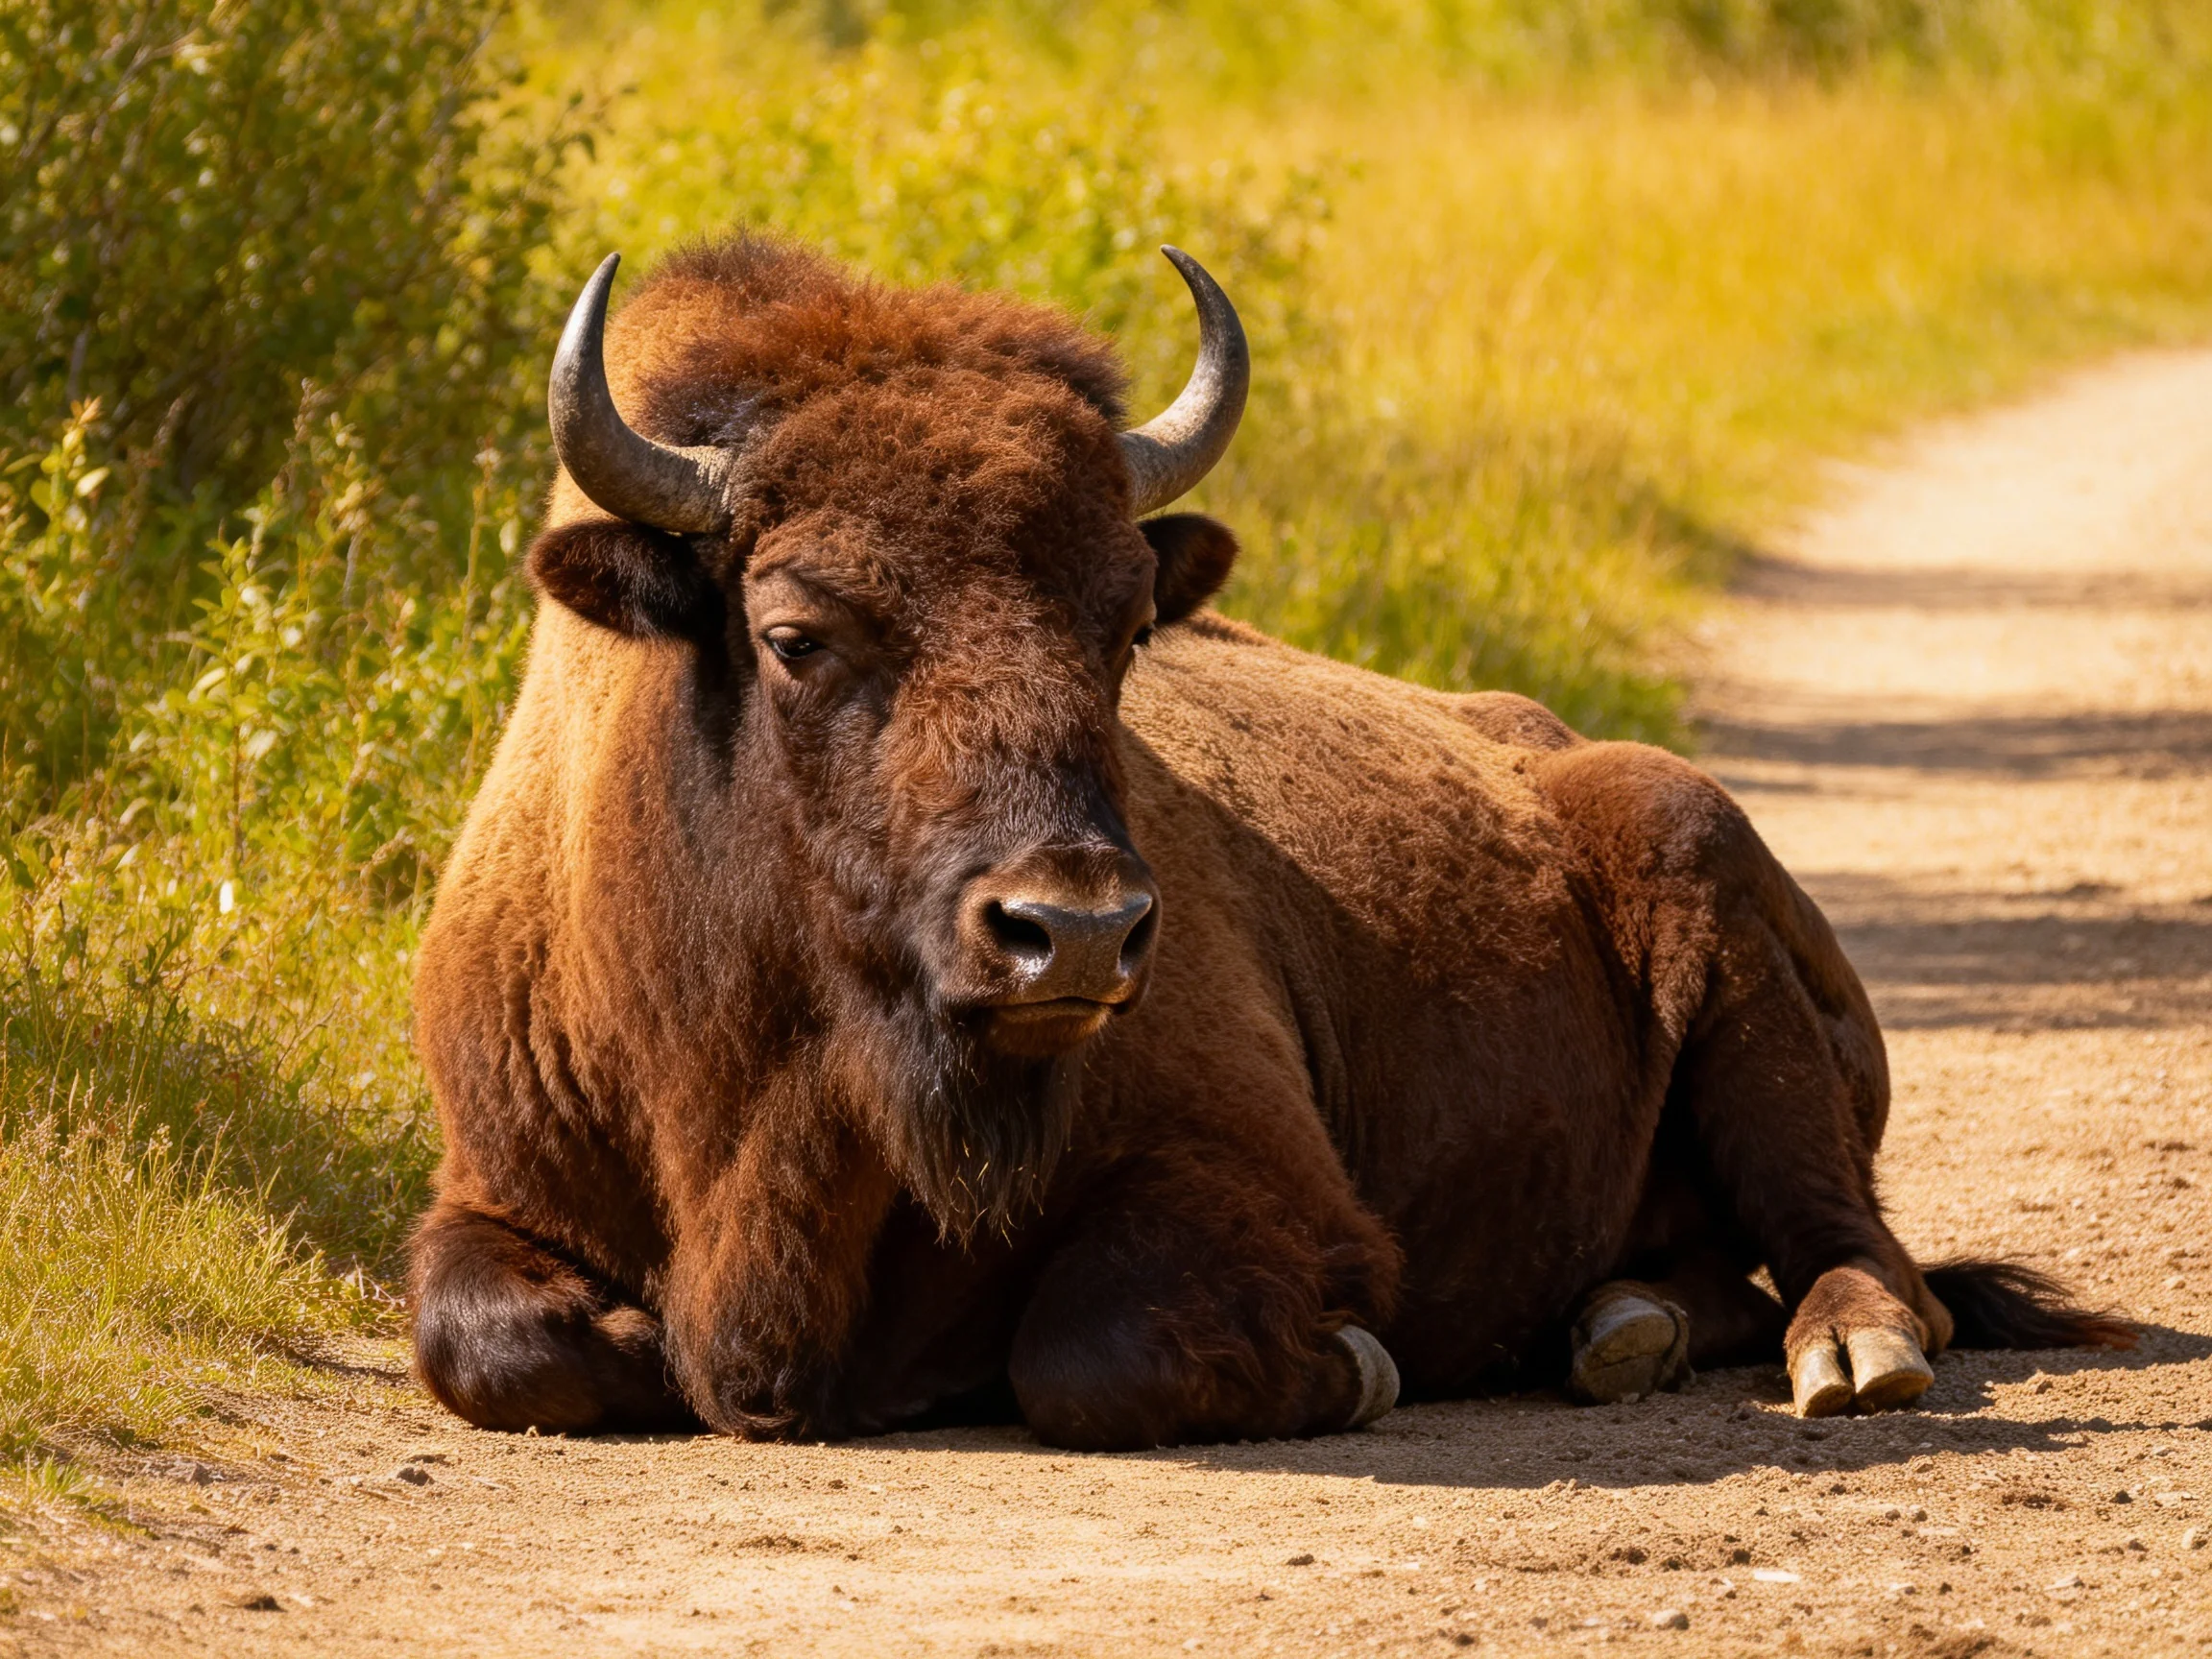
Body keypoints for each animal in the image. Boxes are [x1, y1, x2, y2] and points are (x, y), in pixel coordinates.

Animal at [409, 237, 2125, 1448]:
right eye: (792, 633)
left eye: (1124, 626)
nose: (1074, 933)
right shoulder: (495, 1187)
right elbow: (488, 1341)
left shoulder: (1267, 1187)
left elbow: (1094, 1351)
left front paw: (1359, 1367)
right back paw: (1611, 1331)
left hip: (1740, 959)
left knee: (1859, 1246)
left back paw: (1844, 1355)